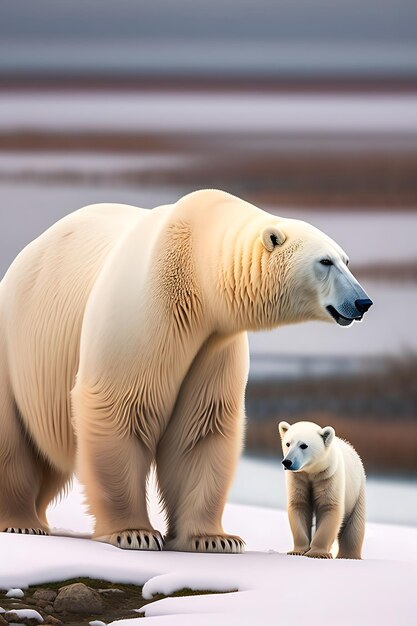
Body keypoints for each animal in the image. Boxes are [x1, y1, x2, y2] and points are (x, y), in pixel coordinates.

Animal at [0, 189, 370, 552]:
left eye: (347, 260)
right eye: (325, 261)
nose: (363, 302)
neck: (197, 268)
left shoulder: (214, 343)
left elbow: (202, 425)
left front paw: (213, 539)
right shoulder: (146, 316)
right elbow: (121, 406)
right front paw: (134, 533)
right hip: (15, 349)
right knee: (14, 443)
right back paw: (21, 522)